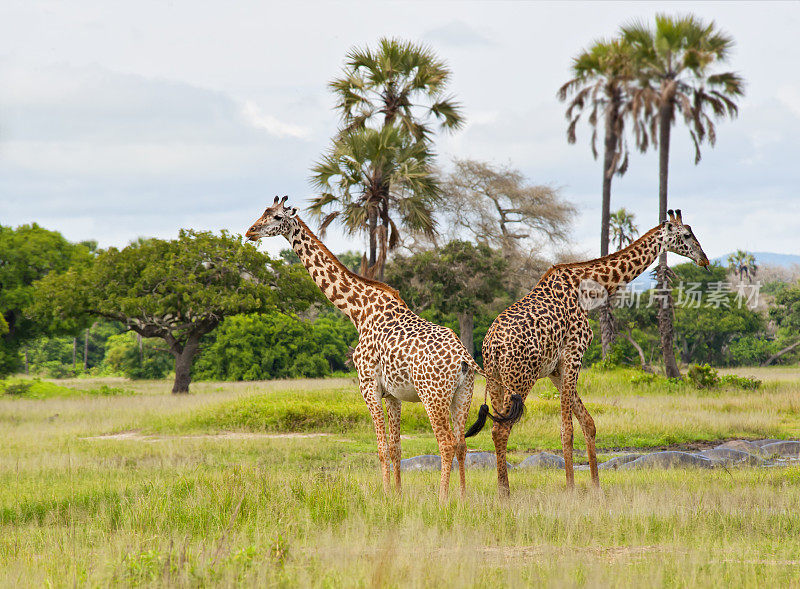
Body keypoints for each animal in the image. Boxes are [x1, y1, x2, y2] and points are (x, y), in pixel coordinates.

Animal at [247, 196, 510, 500]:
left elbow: (382, 448)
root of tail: (464, 356)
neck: (358, 311)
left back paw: (443, 499)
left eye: (277, 217)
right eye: (263, 212)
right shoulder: (393, 394)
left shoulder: (368, 386)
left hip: (433, 395)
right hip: (462, 395)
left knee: (445, 443)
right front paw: (397, 494)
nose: (250, 231)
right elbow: (396, 447)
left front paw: (384, 496)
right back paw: (463, 497)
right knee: (461, 444)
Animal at [466, 209, 708, 494]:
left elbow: (588, 423)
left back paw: (502, 489)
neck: (588, 287)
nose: (704, 259)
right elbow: (566, 429)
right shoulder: (573, 355)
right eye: (686, 235)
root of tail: (491, 345)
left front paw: (596, 487)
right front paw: (571, 488)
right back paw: (505, 493)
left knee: (496, 427)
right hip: (520, 379)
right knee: (501, 429)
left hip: (495, 380)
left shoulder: (555, 370)